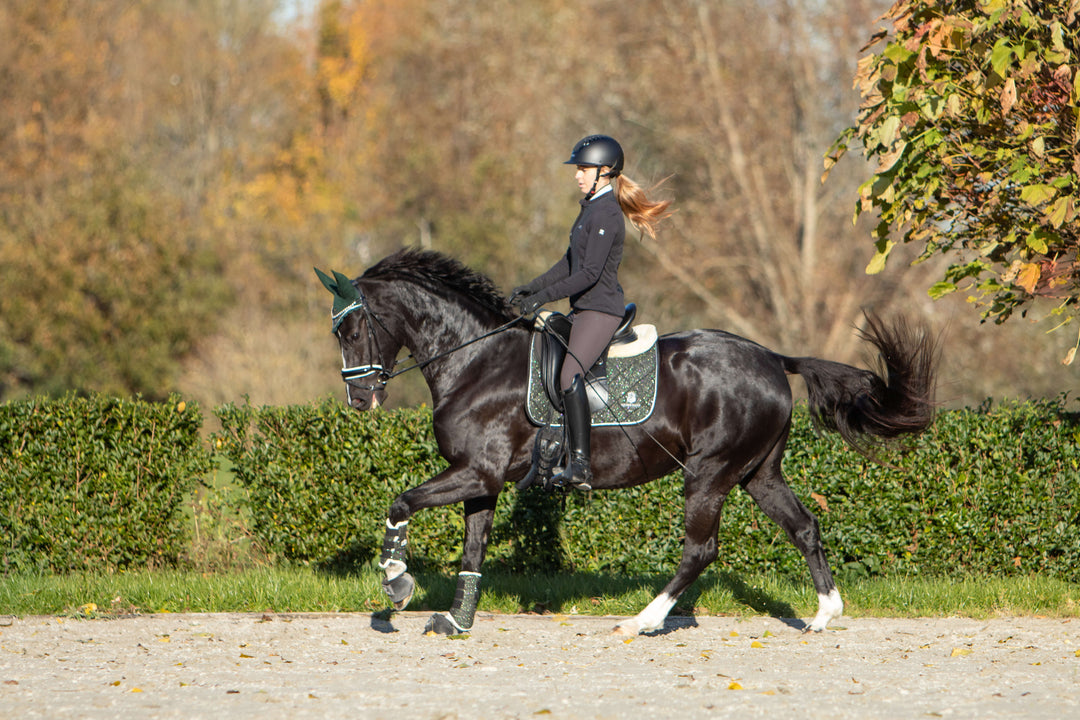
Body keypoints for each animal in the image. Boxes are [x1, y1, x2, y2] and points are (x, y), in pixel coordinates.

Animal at [315, 249, 937, 634]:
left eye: (353, 328)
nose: (360, 399)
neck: (476, 361)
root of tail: (770, 356)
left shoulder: (476, 472)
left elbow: (400, 502)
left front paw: (396, 584)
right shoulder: (481, 481)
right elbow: (473, 549)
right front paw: (457, 621)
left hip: (709, 473)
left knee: (700, 549)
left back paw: (642, 620)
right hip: (758, 473)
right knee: (803, 527)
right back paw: (824, 614)